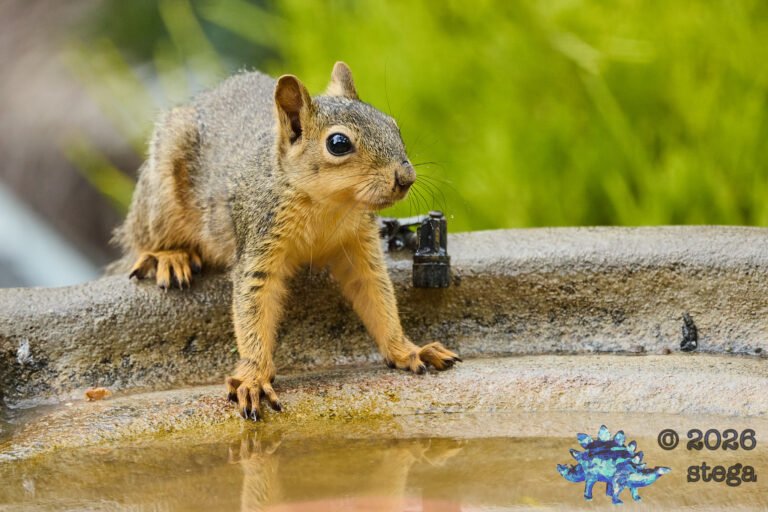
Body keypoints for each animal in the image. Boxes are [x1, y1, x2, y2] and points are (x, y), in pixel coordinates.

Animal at [114, 62, 461, 420]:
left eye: (393, 125)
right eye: (338, 143)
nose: (406, 177)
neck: (328, 205)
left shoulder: (359, 245)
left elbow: (376, 295)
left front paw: (407, 349)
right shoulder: (259, 240)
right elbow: (254, 304)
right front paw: (253, 378)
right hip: (161, 194)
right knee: (146, 237)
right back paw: (170, 256)